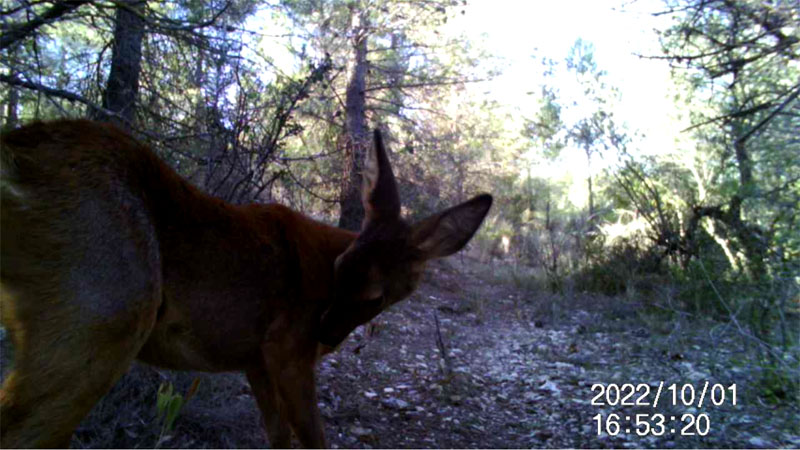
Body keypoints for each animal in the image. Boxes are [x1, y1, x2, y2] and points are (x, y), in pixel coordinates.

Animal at [0, 120, 490, 450]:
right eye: (340, 267)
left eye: (375, 294)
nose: (325, 331)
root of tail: (16, 157)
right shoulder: (286, 349)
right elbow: (312, 439)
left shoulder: (255, 359)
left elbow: (278, 436)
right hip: (104, 311)